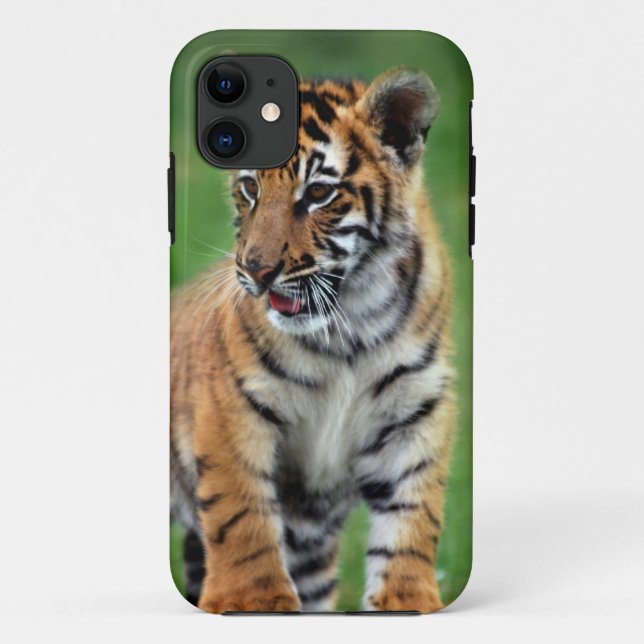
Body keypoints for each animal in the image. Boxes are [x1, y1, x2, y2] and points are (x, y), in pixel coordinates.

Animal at [170, 66, 455, 613]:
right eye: (250, 187)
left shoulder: (416, 413)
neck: (350, 329)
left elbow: (412, 525)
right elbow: (243, 519)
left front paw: (407, 599)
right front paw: (253, 600)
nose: (256, 272)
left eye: (319, 193)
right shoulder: (229, 409)